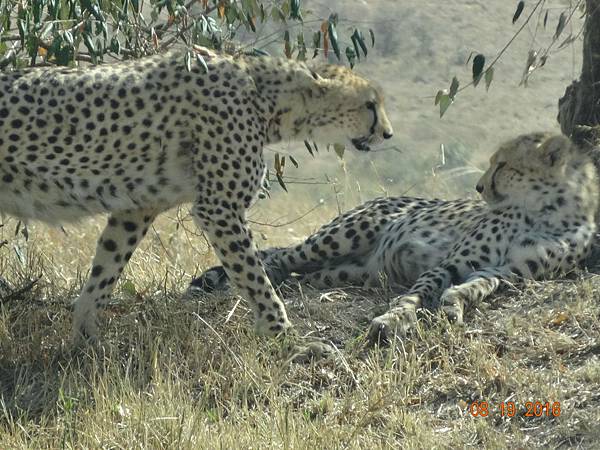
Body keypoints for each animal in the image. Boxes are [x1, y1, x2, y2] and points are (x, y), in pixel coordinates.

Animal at [0, 46, 394, 344]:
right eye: (369, 104)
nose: (388, 134)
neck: (267, 97)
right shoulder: (219, 208)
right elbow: (254, 277)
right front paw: (283, 335)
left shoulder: (137, 208)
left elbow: (105, 271)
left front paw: (85, 341)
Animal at [192, 132, 600, 342]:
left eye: (502, 165)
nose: (479, 187)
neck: (545, 209)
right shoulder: (453, 261)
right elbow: (418, 293)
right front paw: (394, 319)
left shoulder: (506, 272)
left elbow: (476, 287)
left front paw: (454, 304)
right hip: (345, 234)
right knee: (280, 256)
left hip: (351, 270)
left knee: (303, 272)